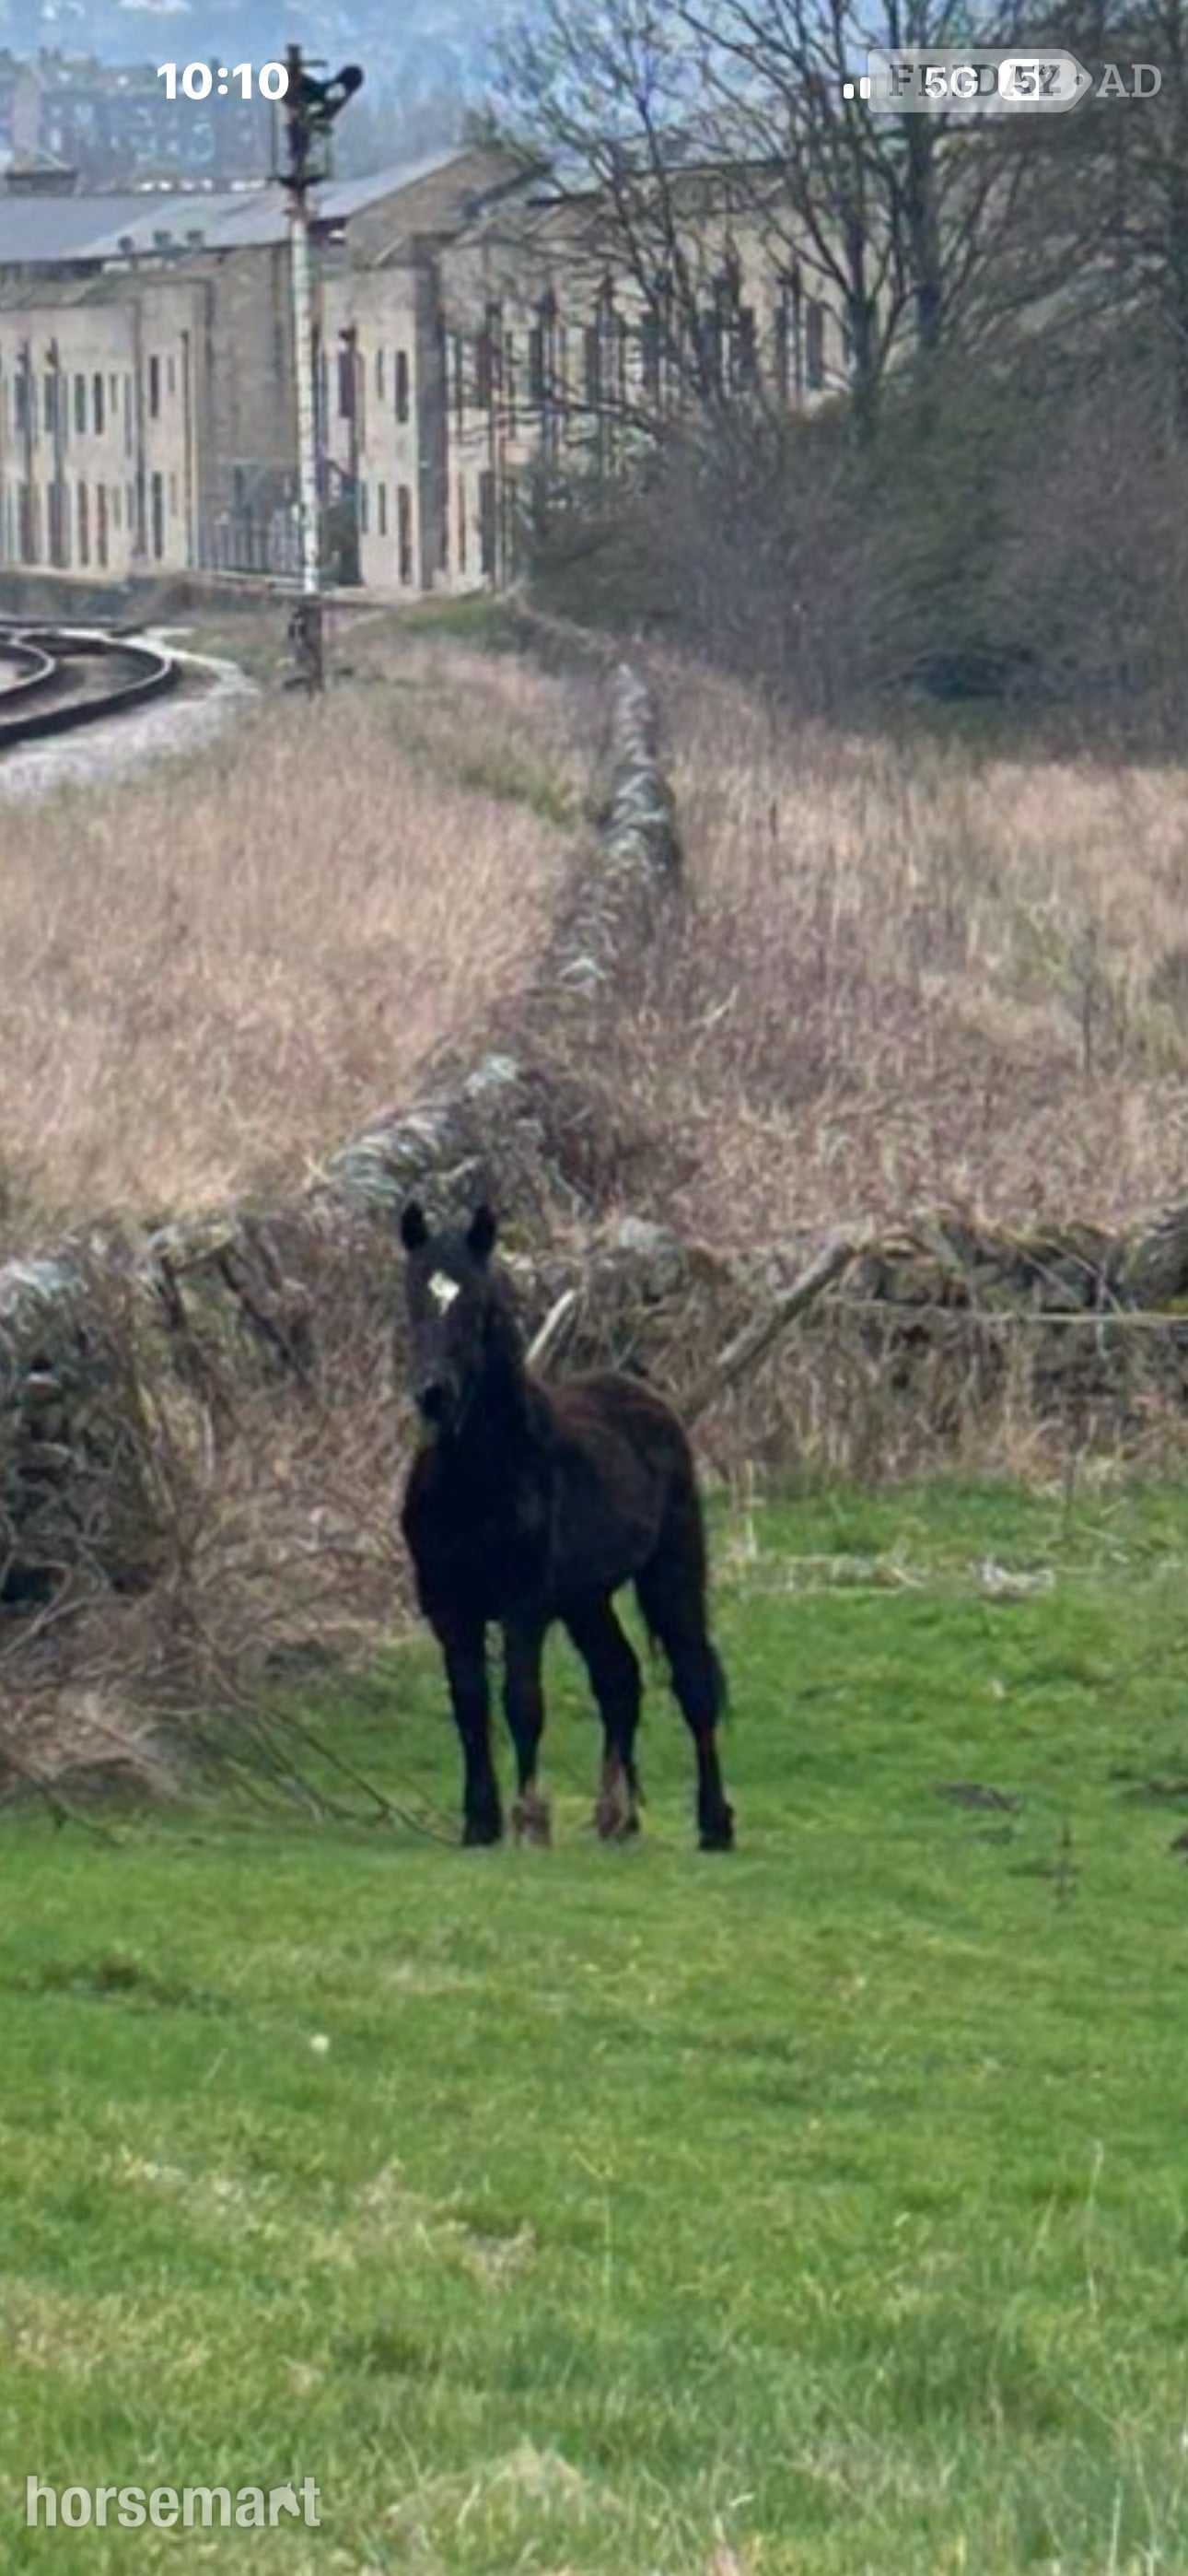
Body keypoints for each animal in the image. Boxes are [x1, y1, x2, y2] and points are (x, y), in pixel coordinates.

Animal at [398, 1200, 735, 1853]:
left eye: (478, 1305)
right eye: (411, 1297)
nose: (434, 1394)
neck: (476, 1478)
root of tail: (648, 1399)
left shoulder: (524, 1605)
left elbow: (522, 1702)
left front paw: (531, 1818)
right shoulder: (448, 1606)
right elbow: (470, 1705)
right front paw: (481, 1822)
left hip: (671, 1571)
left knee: (693, 1683)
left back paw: (715, 1824)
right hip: (586, 1600)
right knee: (619, 1678)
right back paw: (617, 1815)